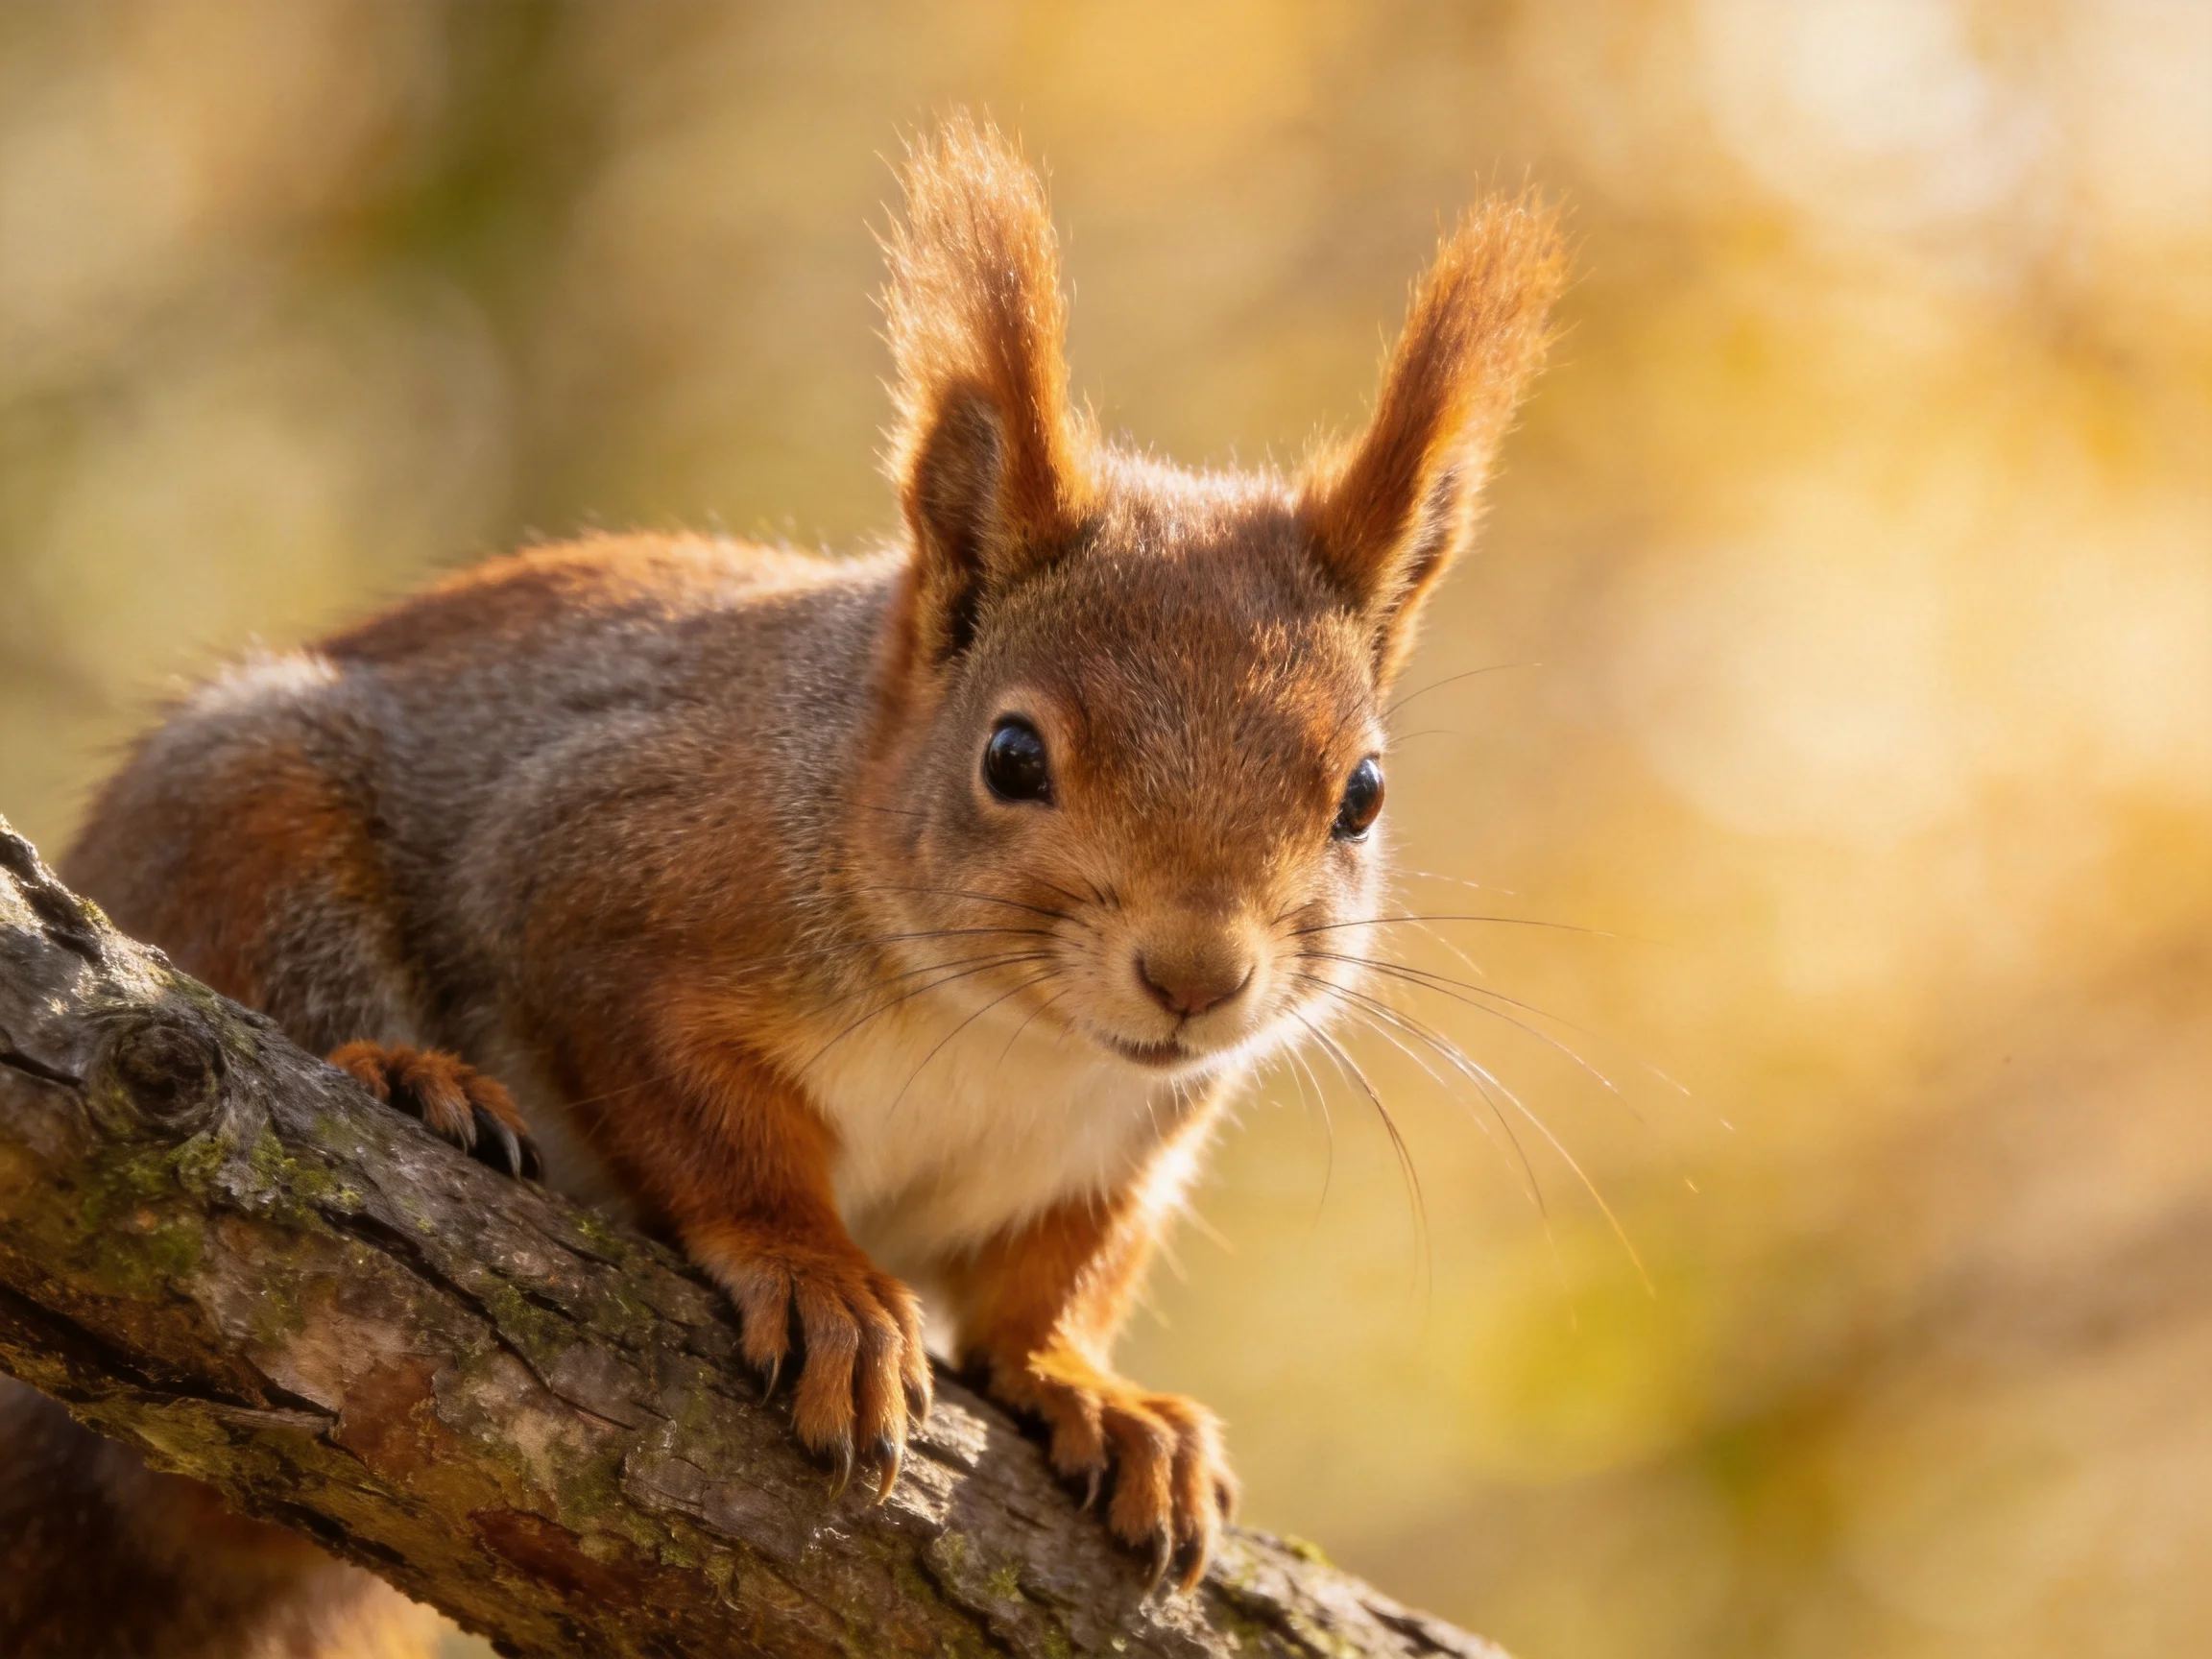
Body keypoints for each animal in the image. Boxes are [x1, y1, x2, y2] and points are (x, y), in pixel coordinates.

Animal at [1, 116, 1562, 1655]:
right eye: (1012, 755)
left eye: (1363, 794)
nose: (1196, 977)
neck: (1006, 1036)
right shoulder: (602, 895)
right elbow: (709, 1120)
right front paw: (821, 1280)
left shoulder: (1121, 1145)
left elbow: (1058, 1274)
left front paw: (1097, 1390)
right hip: (248, 812)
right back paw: (406, 1074)